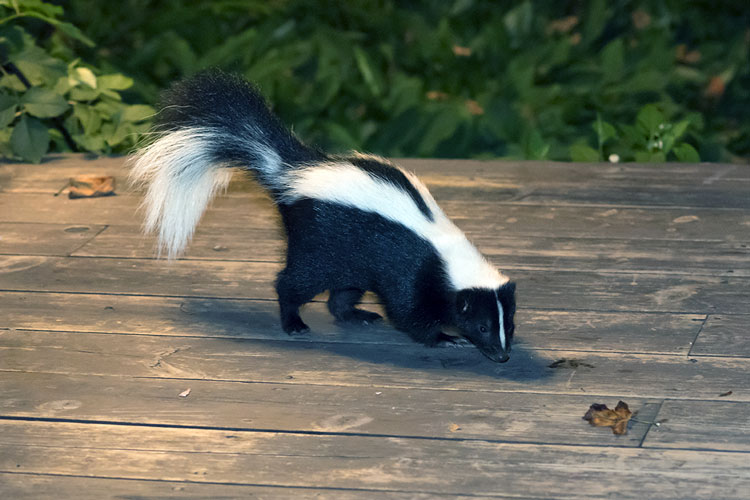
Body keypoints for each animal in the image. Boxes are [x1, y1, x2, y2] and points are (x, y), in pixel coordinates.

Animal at [131, 70, 516, 362]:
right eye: (482, 325)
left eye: (508, 324)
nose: (502, 356)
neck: (445, 251)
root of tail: (292, 173)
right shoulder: (411, 273)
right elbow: (408, 313)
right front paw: (445, 338)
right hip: (317, 244)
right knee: (293, 282)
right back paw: (294, 323)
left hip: (348, 259)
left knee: (341, 295)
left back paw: (358, 315)